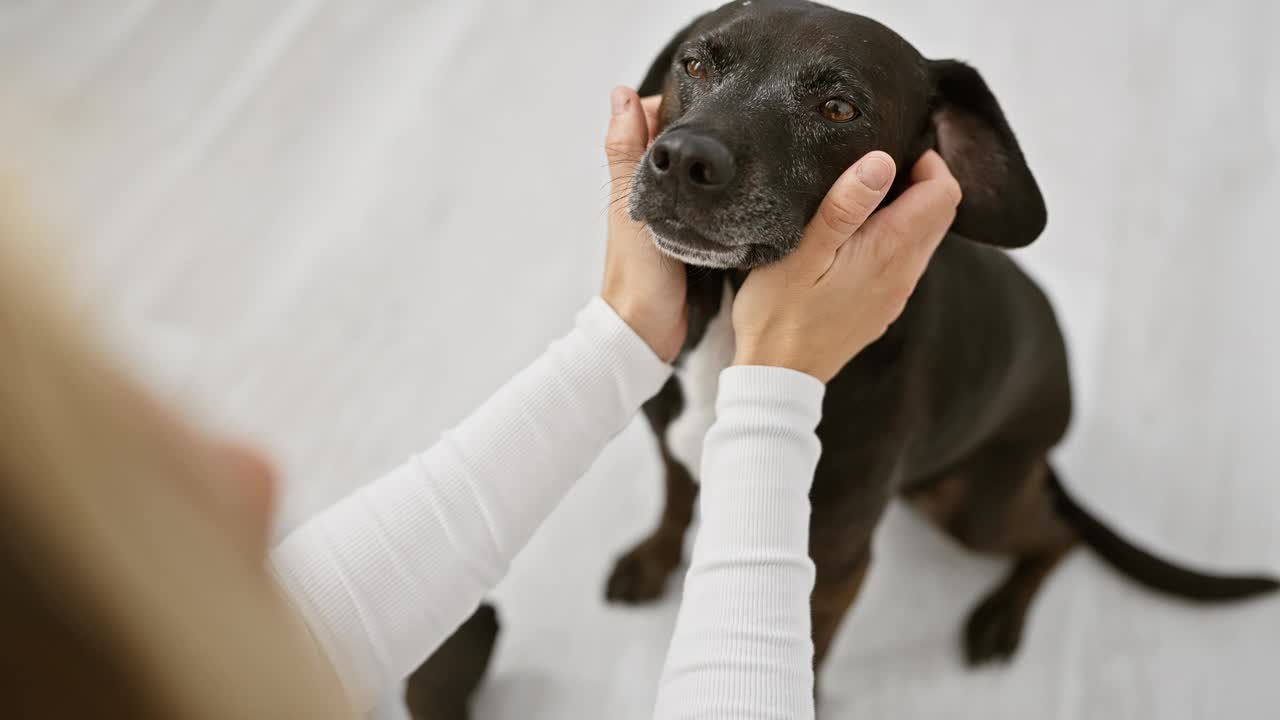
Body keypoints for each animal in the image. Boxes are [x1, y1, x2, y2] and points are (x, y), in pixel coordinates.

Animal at [604, 0, 1274, 666]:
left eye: (839, 108)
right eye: (694, 64)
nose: (683, 160)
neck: (731, 323)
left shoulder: (836, 553)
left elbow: (811, 652)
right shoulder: (674, 450)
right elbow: (673, 506)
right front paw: (652, 562)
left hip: (968, 504)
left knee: (1058, 536)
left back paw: (1002, 616)